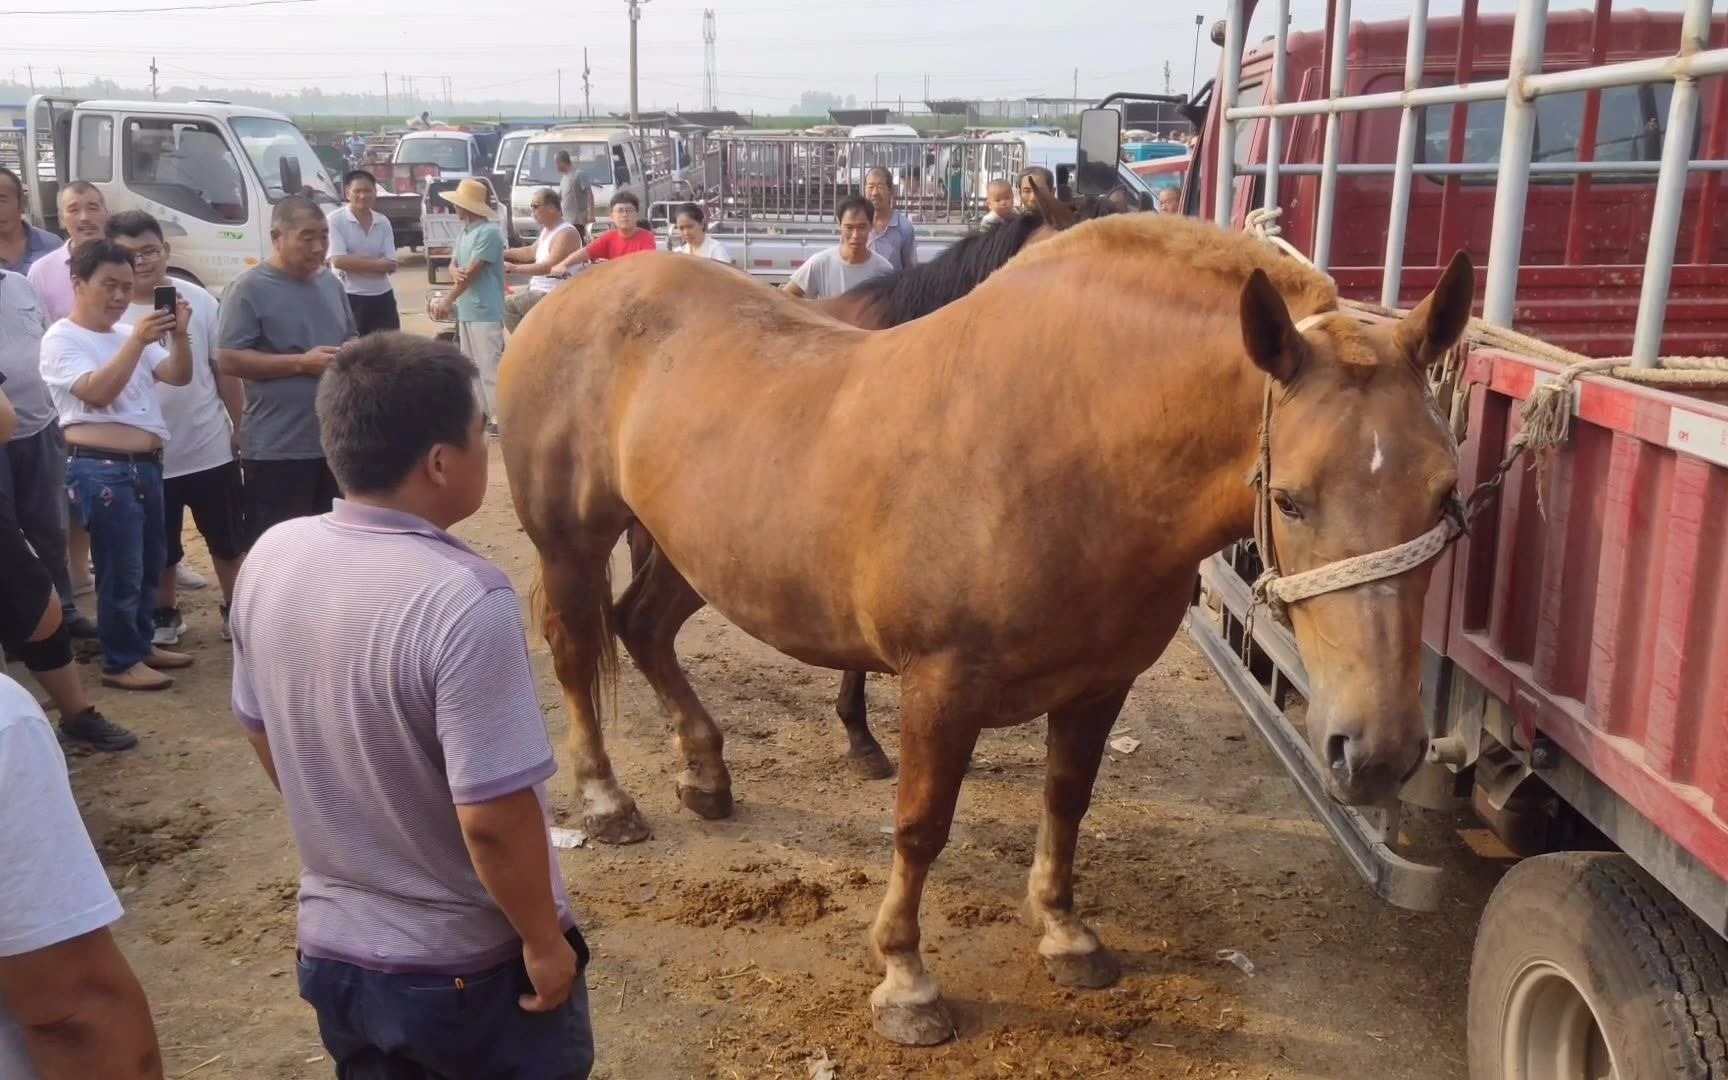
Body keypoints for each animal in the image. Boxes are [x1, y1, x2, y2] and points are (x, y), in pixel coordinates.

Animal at [497, 210, 1472, 1043]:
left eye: (1446, 492)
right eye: (1291, 498)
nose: (1377, 751)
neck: (1070, 446)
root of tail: (572, 295)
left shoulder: (1100, 684)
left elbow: (1067, 800)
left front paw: (1065, 932)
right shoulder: (940, 686)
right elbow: (921, 826)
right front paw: (906, 980)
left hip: (694, 547)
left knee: (644, 628)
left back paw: (703, 770)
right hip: (572, 540)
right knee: (578, 650)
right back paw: (606, 799)